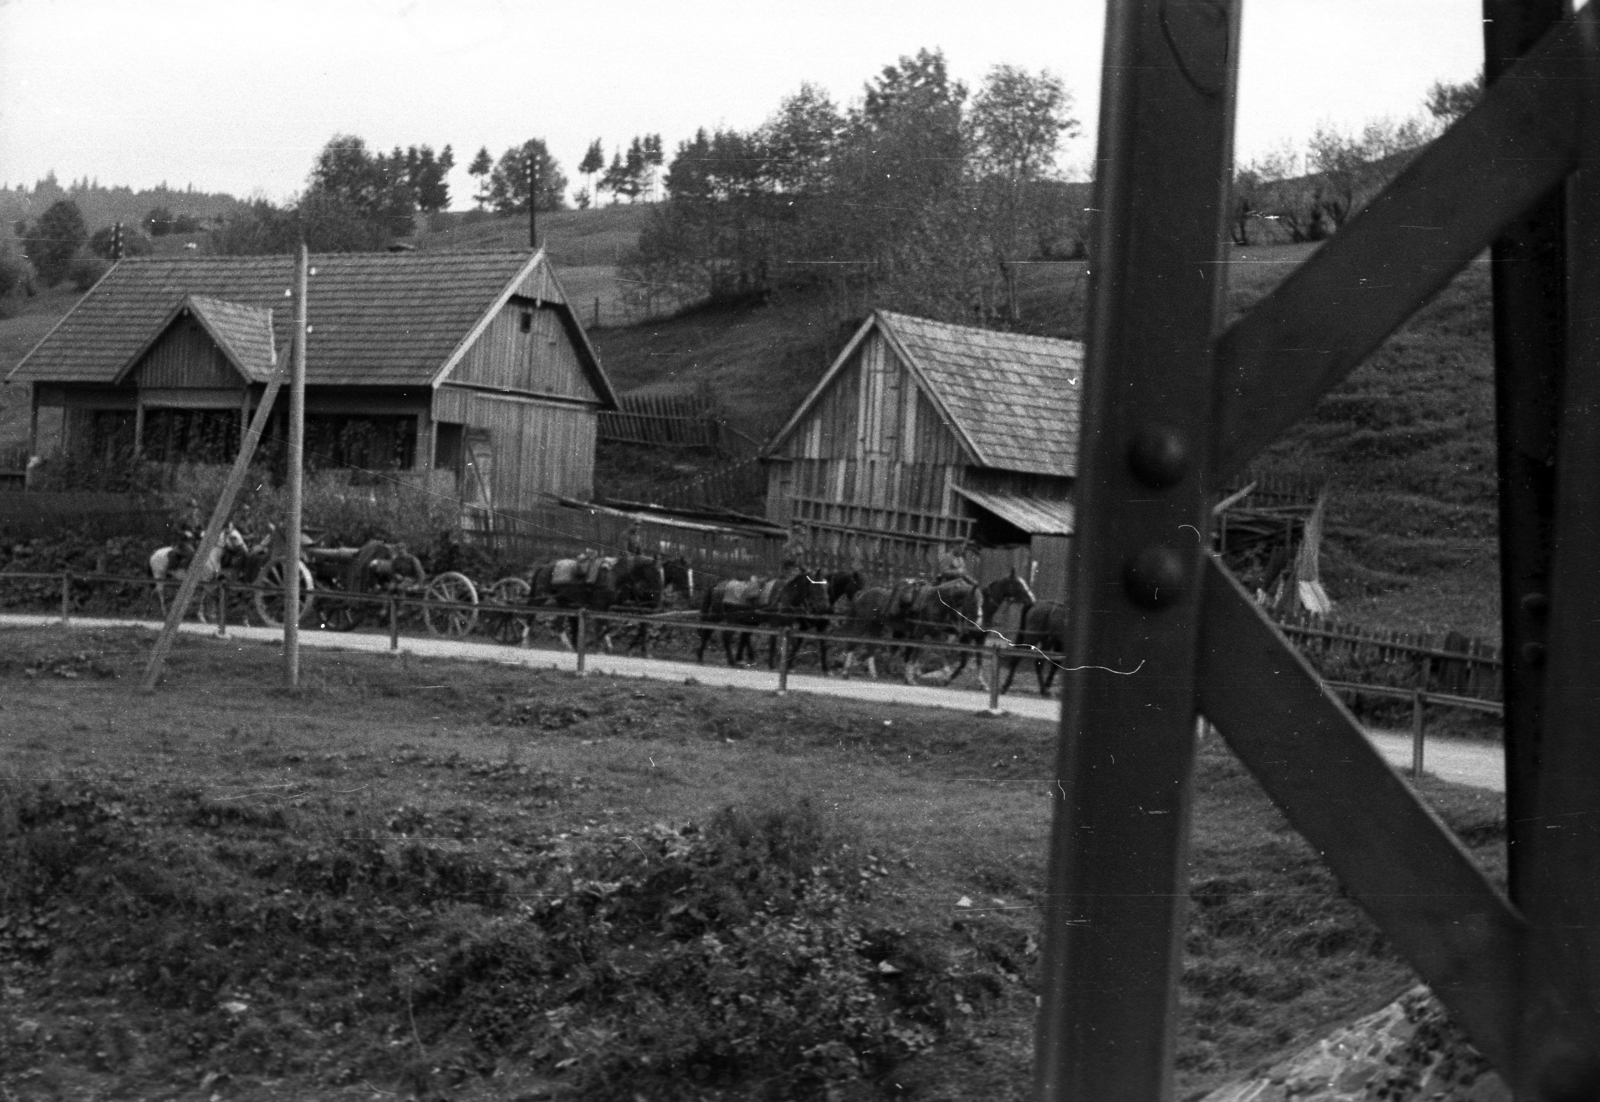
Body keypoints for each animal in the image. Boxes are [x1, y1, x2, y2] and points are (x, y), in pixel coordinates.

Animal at [531, 553, 662, 649]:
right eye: (656, 572)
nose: (657, 596)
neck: (613, 574)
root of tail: (545, 567)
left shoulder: (606, 607)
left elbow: (604, 625)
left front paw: (607, 646)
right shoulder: (598, 605)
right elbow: (599, 626)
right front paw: (599, 647)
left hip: (563, 602)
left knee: (559, 625)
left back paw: (570, 647)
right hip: (541, 597)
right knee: (530, 614)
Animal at [694, 572, 832, 665]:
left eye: (826, 587)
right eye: (817, 586)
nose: (825, 606)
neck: (785, 596)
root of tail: (718, 585)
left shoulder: (787, 625)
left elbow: (788, 644)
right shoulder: (774, 624)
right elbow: (773, 642)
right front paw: (771, 664)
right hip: (721, 616)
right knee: (715, 633)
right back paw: (723, 659)